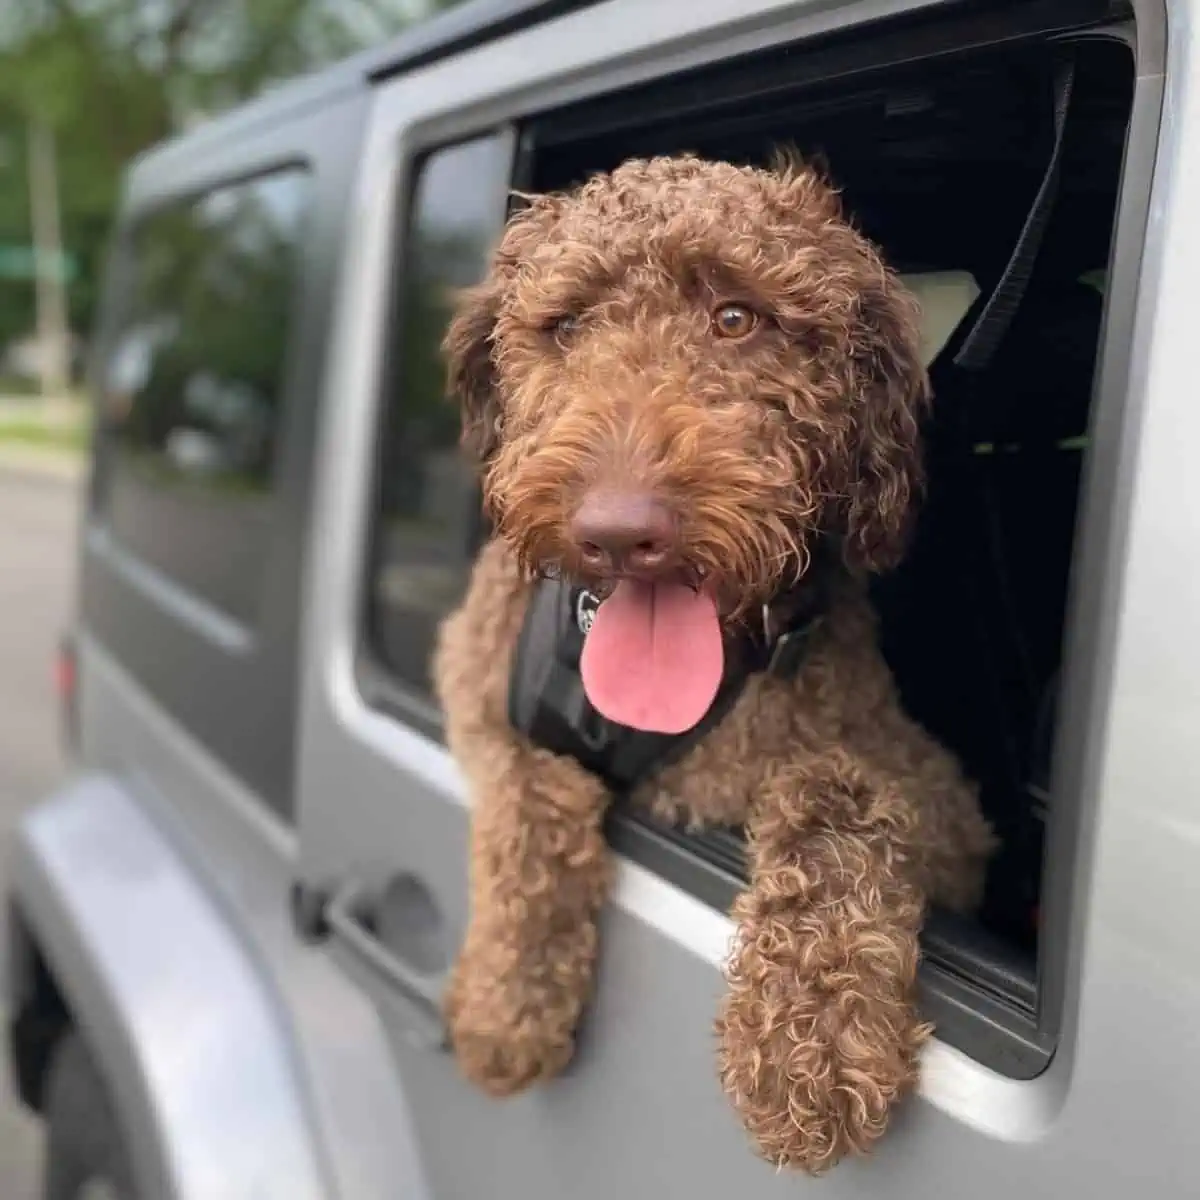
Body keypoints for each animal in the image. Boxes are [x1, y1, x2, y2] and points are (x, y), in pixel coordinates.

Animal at [432, 153, 995, 1175]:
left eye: (737, 318)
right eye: (565, 326)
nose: (619, 533)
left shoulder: (950, 809)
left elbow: (836, 789)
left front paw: (811, 1034)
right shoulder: (470, 671)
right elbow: (528, 797)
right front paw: (507, 997)